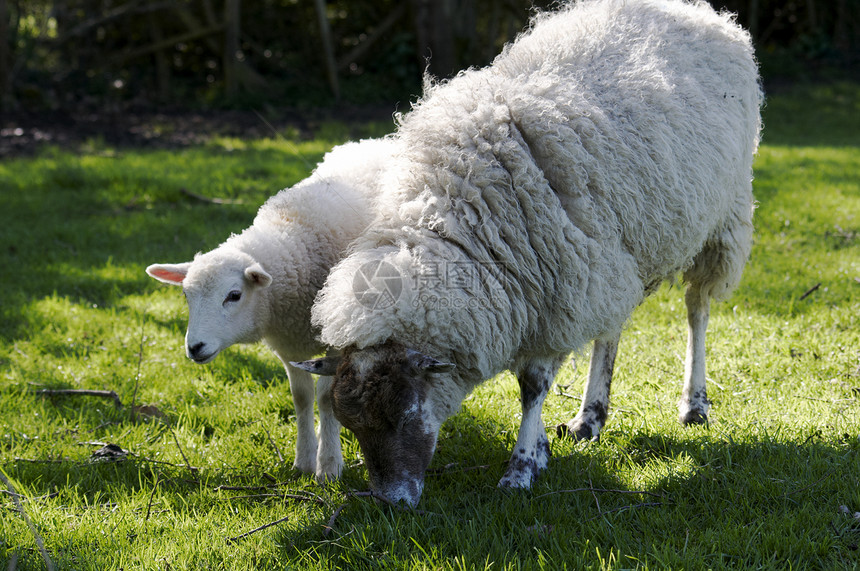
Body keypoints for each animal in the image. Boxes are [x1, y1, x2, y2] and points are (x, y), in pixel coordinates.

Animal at [147, 139, 396, 482]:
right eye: (186, 295)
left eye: (234, 295)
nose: (194, 347)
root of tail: (372, 142)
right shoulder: (289, 344)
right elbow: (301, 398)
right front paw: (303, 461)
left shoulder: (337, 339)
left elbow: (325, 399)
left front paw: (329, 467)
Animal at [294, 1, 760, 510]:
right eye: (352, 425)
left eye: (403, 414)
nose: (391, 503)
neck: (457, 214)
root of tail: (698, 11)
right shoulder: (564, 283)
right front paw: (541, 449)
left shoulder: (557, 293)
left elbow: (532, 387)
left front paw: (521, 467)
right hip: (616, 256)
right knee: (612, 327)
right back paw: (590, 416)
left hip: (722, 220)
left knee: (697, 308)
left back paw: (694, 403)